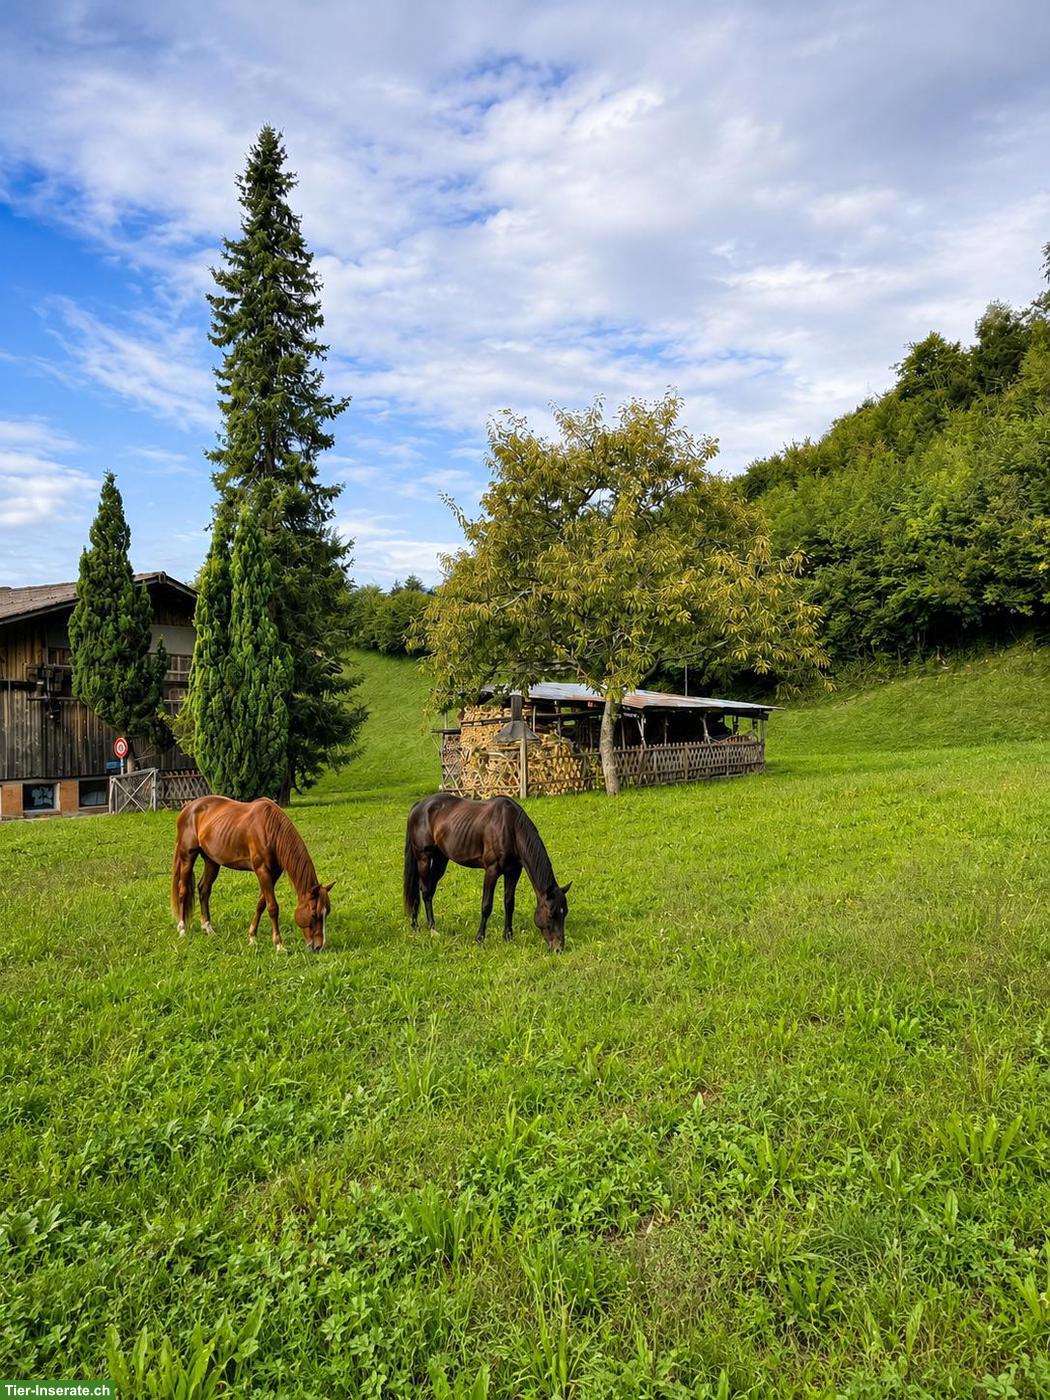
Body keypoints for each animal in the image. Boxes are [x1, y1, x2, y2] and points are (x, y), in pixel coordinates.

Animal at [172, 795, 334, 952]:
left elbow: (261, 904)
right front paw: (279, 945)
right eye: (314, 914)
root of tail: (189, 807)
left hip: (212, 861)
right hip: (187, 857)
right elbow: (272, 907)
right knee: (183, 890)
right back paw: (182, 929)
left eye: (327, 913)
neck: (270, 829)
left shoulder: (273, 873)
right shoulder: (262, 871)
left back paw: (208, 928)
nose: (319, 946)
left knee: (204, 890)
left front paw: (252, 938)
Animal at [404, 793, 571, 952]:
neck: (510, 827)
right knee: (425, 891)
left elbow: (509, 904)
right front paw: (480, 938)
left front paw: (508, 936)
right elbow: (486, 906)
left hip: (441, 859)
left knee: (427, 889)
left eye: (564, 913)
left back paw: (416, 924)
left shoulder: (513, 871)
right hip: (423, 858)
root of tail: (419, 805)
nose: (558, 948)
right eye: (551, 914)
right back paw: (431, 928)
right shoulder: (492, 871)